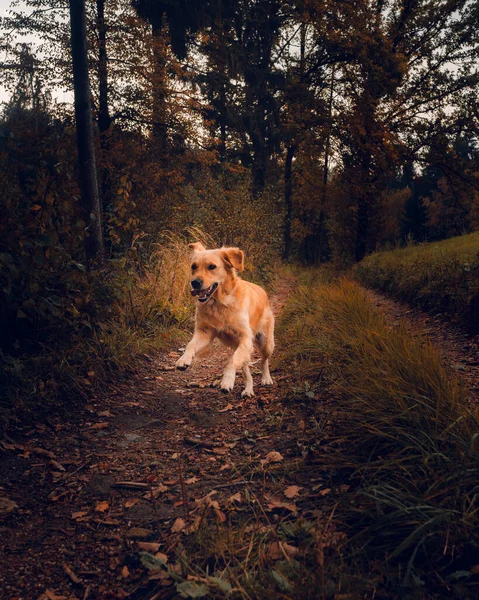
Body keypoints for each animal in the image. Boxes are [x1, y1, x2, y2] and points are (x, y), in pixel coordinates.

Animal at [176, 241, 276, 396]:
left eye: (212, 266)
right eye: (193, 266)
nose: (195, 282)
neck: (219, 302)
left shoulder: (245, 338)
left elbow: (231, 361)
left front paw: (227, 380)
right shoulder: (205, 333)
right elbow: (190, 344)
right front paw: (184, 359)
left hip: (265, 342)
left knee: (264, 360)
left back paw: (266, 378)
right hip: (241, 347)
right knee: (246, 369)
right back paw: (248, 389)